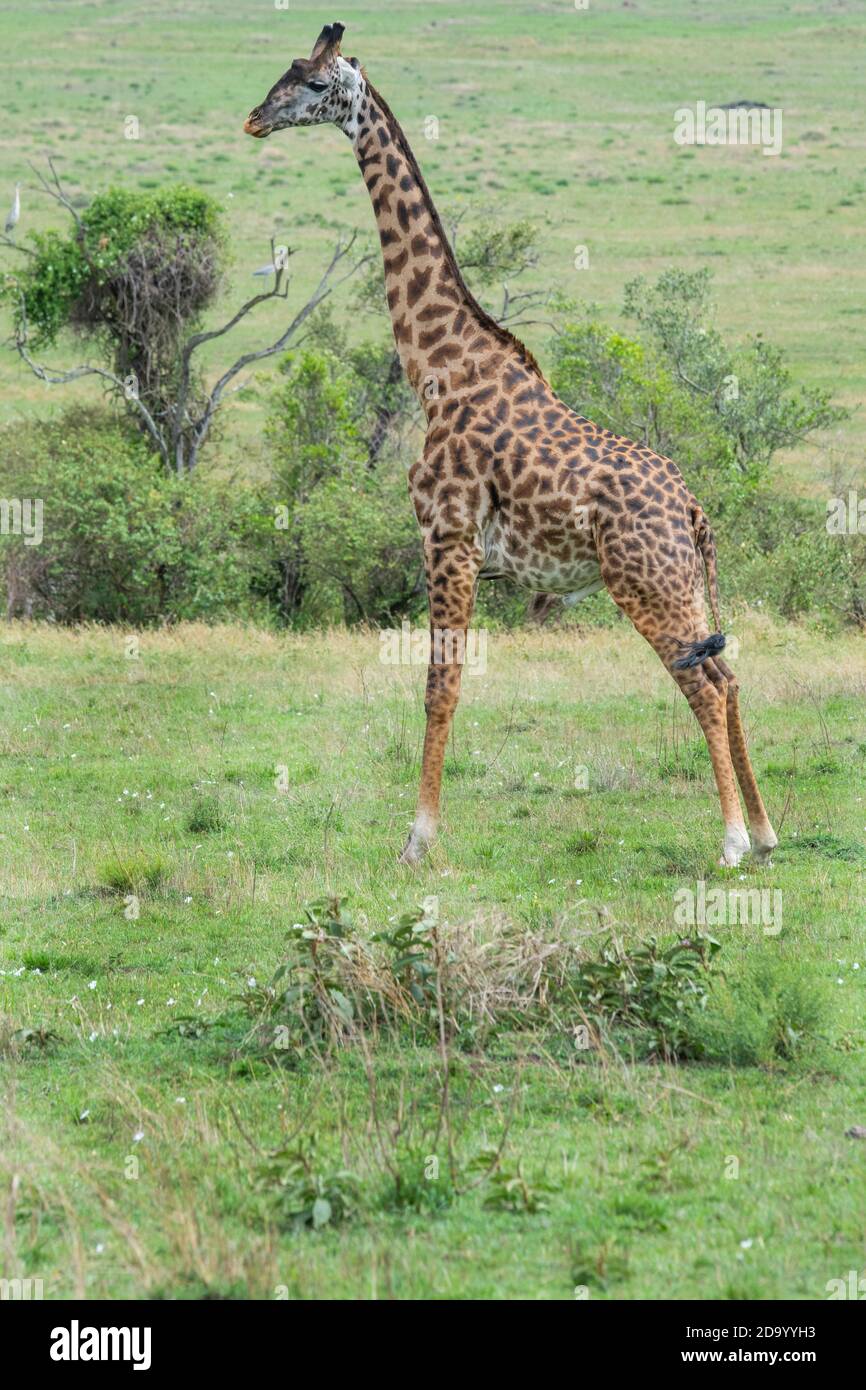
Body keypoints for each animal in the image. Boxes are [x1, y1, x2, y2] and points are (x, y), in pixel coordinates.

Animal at [244, 22, 778, 871]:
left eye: (312, 83)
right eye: (285, 74)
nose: (254, 119)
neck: (436, 366)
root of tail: (693, 509)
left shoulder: (448, 539)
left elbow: (440, 684)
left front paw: (418, 839)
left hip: (644, 583)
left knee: (705, 684)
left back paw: (729, 840)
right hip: (684, 582)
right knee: (727, 674)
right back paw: (762, 832)